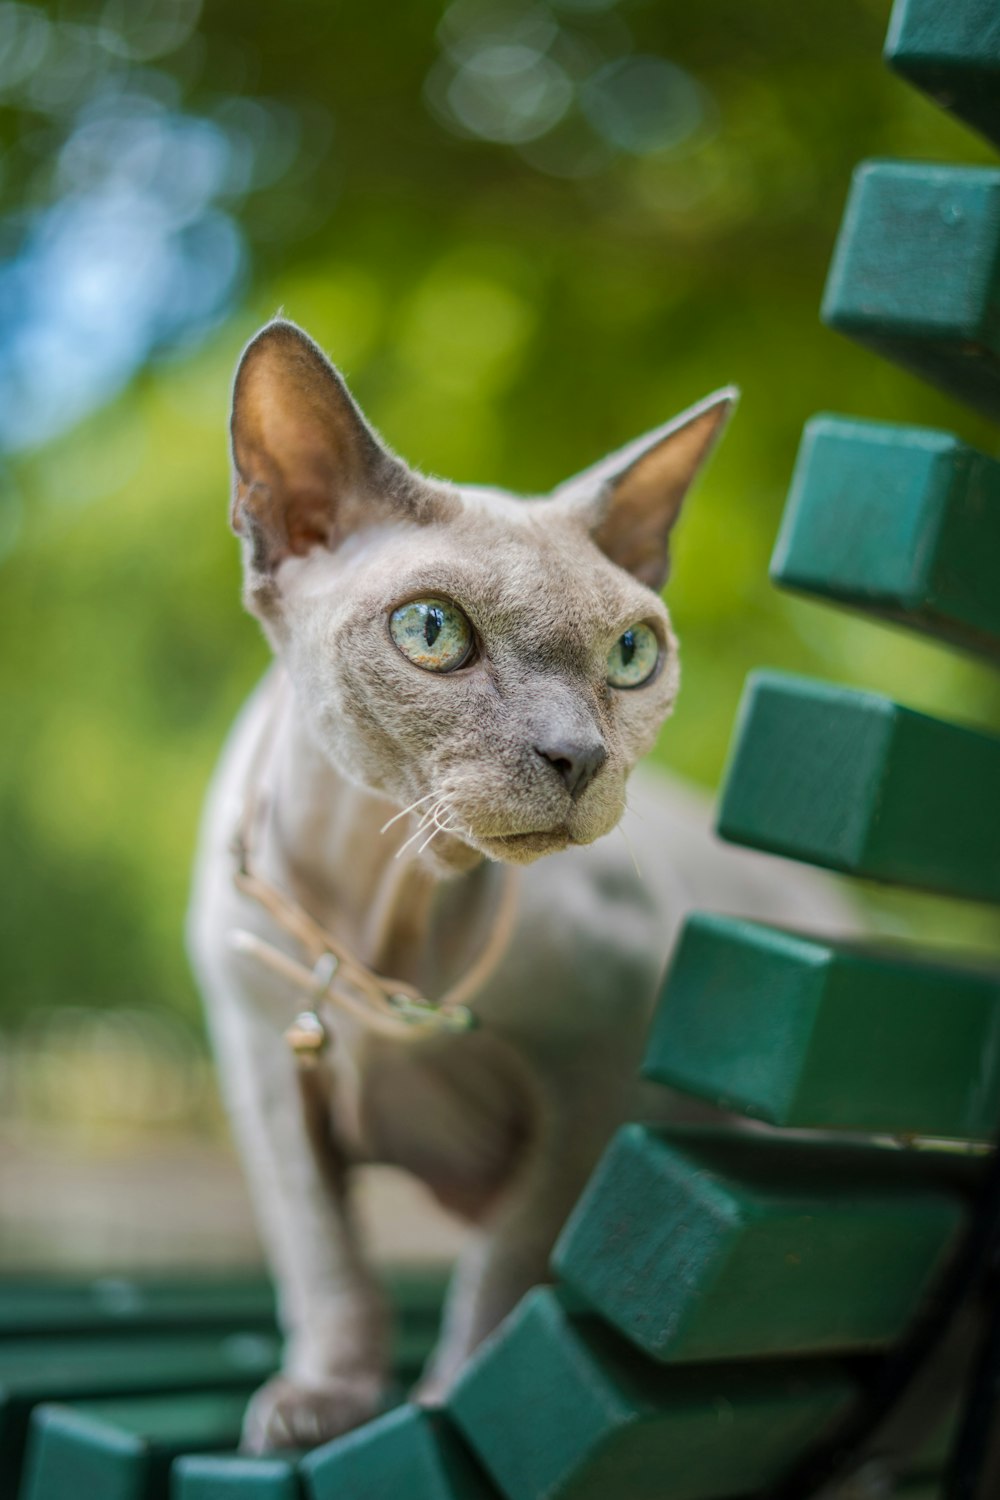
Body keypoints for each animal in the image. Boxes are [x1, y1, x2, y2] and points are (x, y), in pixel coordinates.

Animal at [185, 319, 845, 1452]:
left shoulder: (594, 1080)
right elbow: (325, 1262)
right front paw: (320, 1405)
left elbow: (505, 1261)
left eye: (631, 654)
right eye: (431, 632)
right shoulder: (263, 1067)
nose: (577, 755)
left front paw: (450, 1402)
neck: (386, 916)